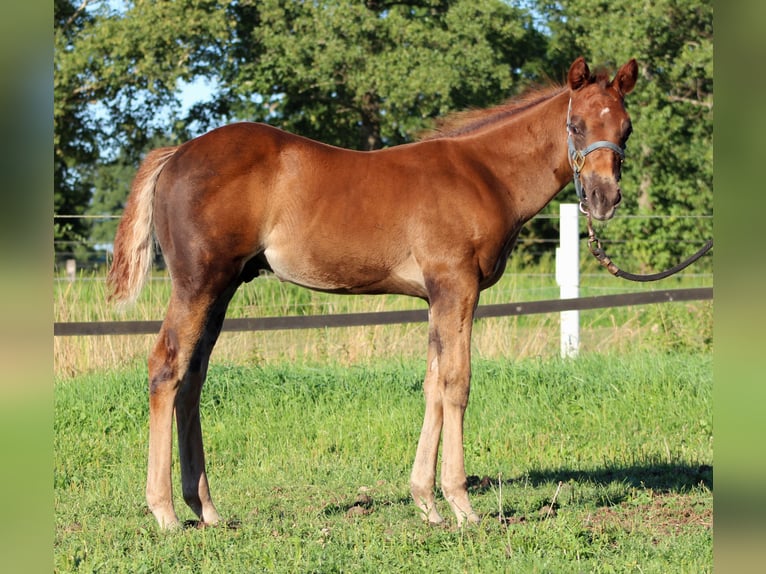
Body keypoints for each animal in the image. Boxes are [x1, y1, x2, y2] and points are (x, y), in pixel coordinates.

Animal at [108, 57, 638, 529]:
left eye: (626, 129)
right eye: (575, 125)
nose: (603, 199)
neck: (484, 174)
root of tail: (176, 154)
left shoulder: (435, 298)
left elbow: (432, 384)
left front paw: (426, 504)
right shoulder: (456, 287)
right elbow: (457, 384)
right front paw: (462, 506)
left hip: (223, 287)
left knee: (193, 377)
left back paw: (206, 509)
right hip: (198, 282)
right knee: (166, 367)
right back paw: (165, 512)